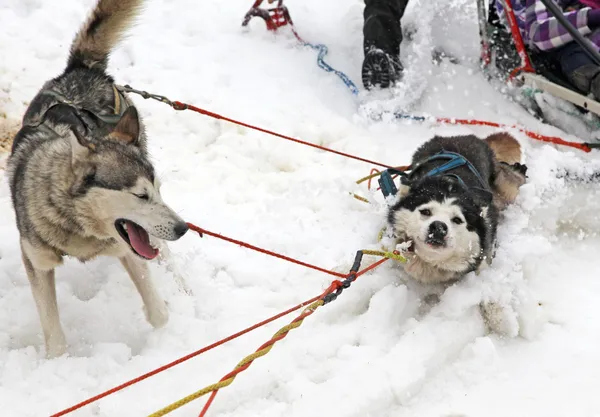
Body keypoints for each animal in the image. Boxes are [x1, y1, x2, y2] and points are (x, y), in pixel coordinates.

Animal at [5, 0, 186, 358]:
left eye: (157, 191)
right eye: (140, 195)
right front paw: (58, 362)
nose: (183, 228)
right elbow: (54, 334)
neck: (77, 227)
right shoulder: (37, 262)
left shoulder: (127, 250)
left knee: (161, 251)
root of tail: (83, 69)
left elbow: (158, 312)